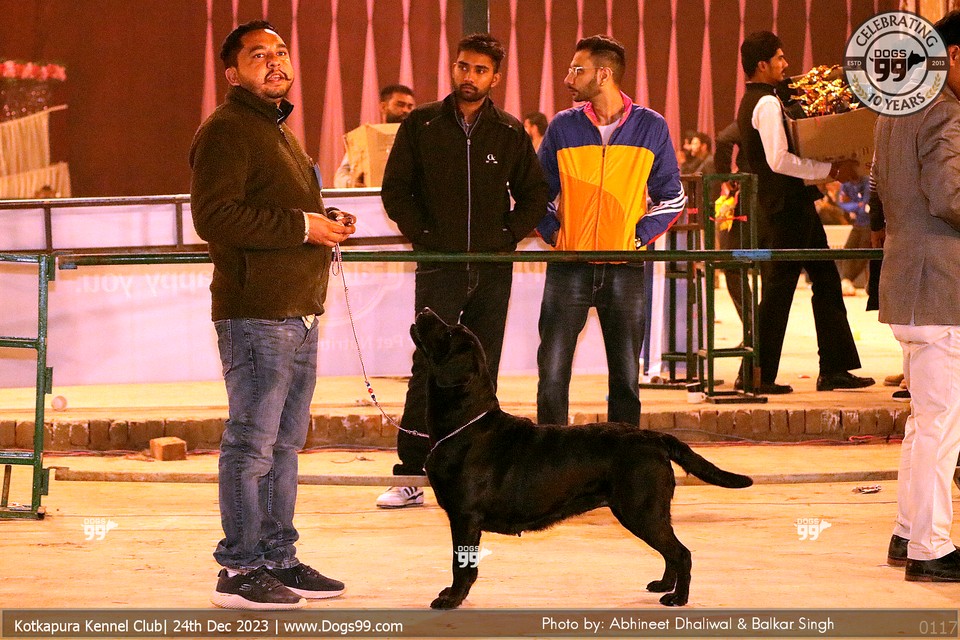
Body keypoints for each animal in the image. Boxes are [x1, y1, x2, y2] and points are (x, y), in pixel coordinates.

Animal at [410, 308, 753, 608]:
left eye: (449, 333)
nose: (424, 310)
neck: (465, 423)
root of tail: (653, 436)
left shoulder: (466, 516)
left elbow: (461, 565)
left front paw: (451, 599)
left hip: (641, 510)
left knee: (681, 553)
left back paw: (677, 598)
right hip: (646, 511)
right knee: (671, 551)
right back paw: (663, 585)